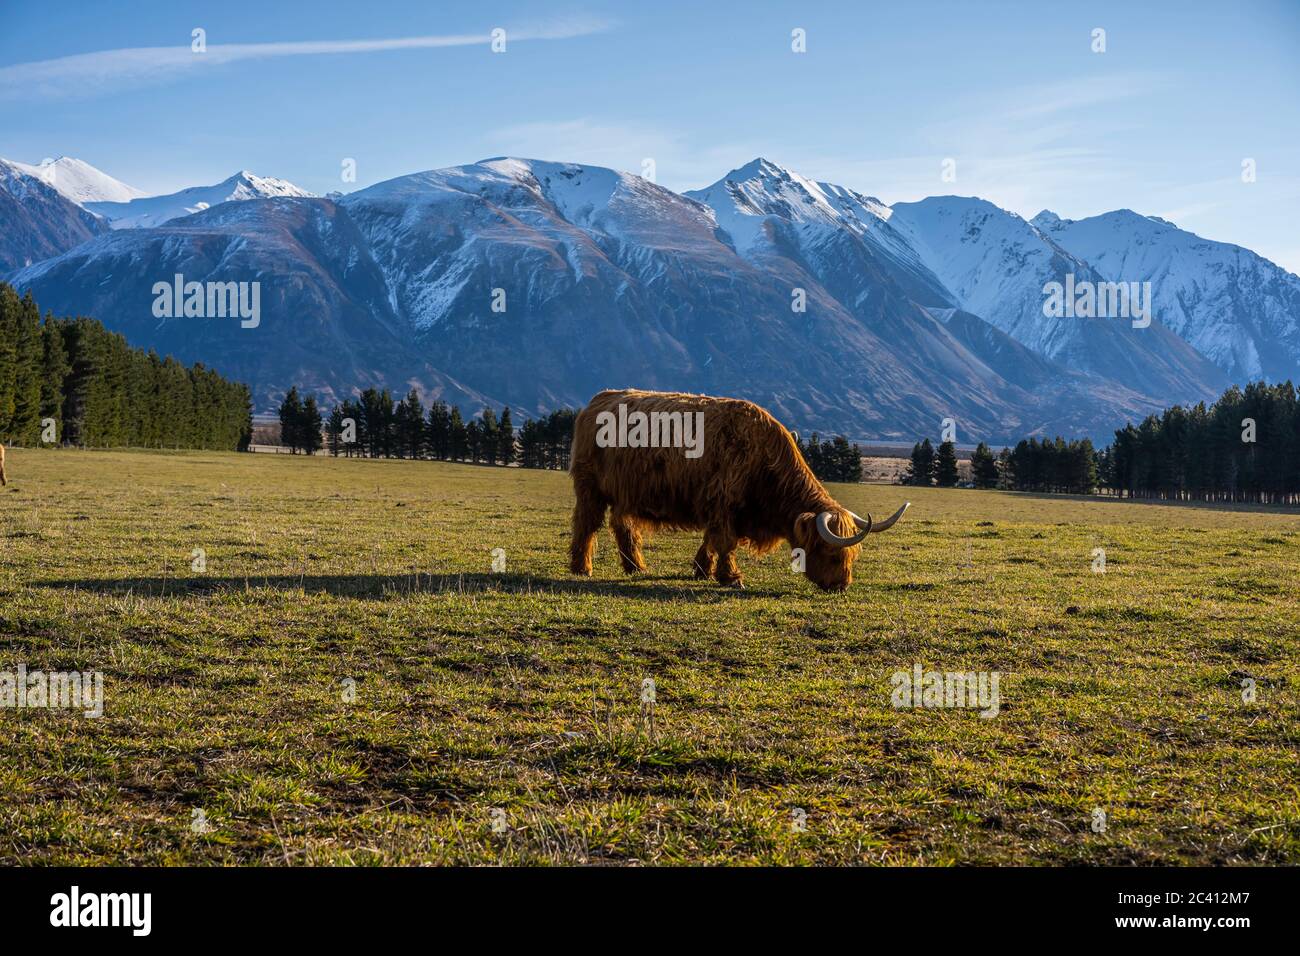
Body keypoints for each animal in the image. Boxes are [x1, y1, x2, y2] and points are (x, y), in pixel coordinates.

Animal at [568, 389, 909, 591]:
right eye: (832, 552)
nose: (842, 584)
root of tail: (597, 400)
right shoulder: (722, 502)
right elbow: (725, 541)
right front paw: (731, 577)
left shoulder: (717, 506)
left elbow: (710, 540)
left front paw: (702, 570)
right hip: (590, 487)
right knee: (586, 524)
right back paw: (582, 568)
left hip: (624, 493)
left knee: (623, 525)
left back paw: (635, 567)